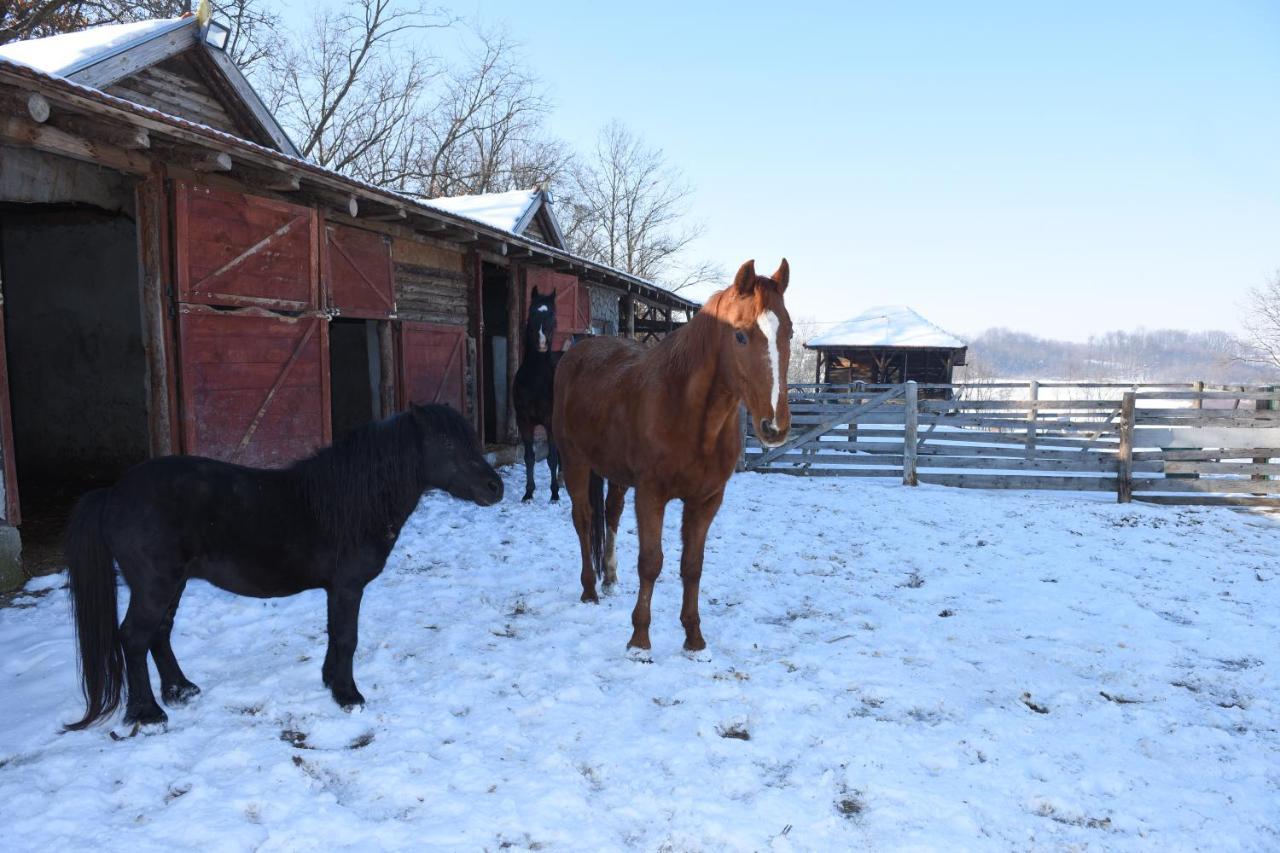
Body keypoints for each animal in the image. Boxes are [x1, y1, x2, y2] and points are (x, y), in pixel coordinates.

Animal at [62, 402, 499, 727]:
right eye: (446, 442)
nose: (497, 488)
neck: (351, 502)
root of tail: (112, 494)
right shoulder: (347, 586)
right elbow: (347, 637)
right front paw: (349, 696)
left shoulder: (336, 589)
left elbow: (334, 635)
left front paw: (330, 682)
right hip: (156, 584)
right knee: (134, 637)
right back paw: (149, 714)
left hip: (173, 583)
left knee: (159, 634)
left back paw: (181, 690)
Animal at [558, 258, 793, 650]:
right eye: (741, 335)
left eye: (788, 333)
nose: (774, 426)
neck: (686, 411)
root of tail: (580, 351)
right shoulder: (651, 495)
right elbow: (651, 562)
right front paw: (639, 640)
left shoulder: (706, 500)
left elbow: (692, 566)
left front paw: (694, 638)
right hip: (573, 460)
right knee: (583, 519)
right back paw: (589, 589)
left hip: (616, 475)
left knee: (610, 514)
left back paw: (609, 578)